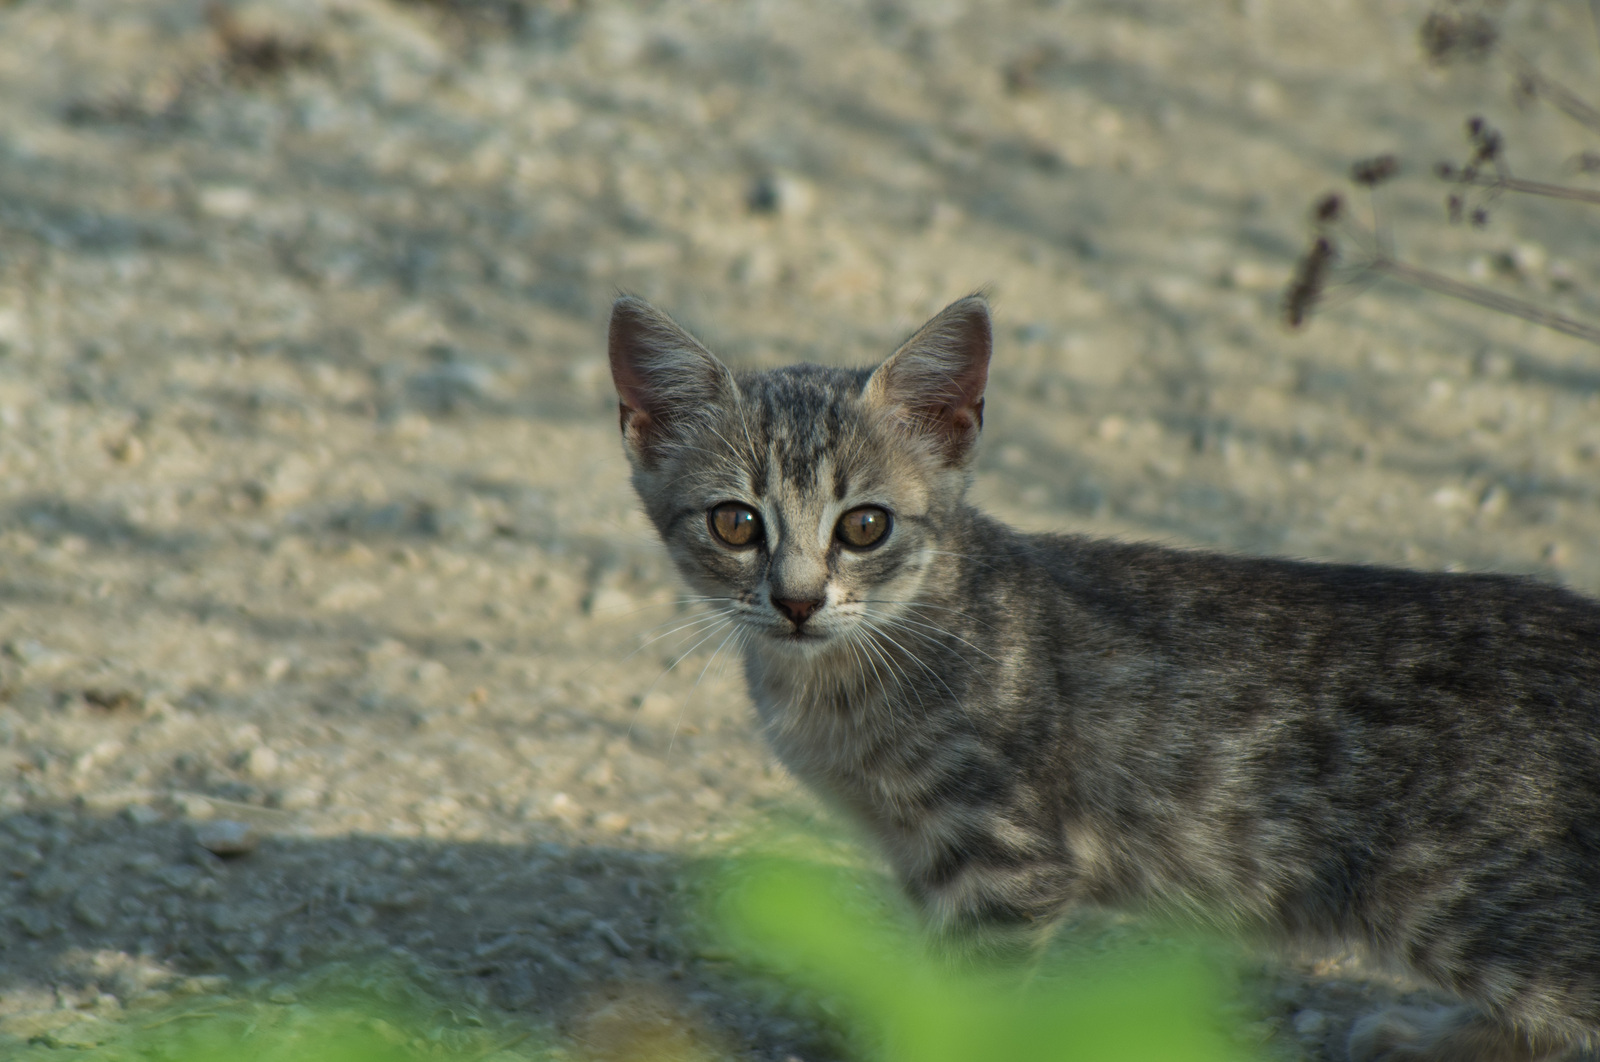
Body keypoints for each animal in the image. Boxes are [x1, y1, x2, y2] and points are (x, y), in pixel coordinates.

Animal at [601, 292, 1600, 1062]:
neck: (846, 678)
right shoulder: (928, 866)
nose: (799, 600)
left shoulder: (1005, 862)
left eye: (864, 526)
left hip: (1463, 903)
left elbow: (968, 1005)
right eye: (736, 523)